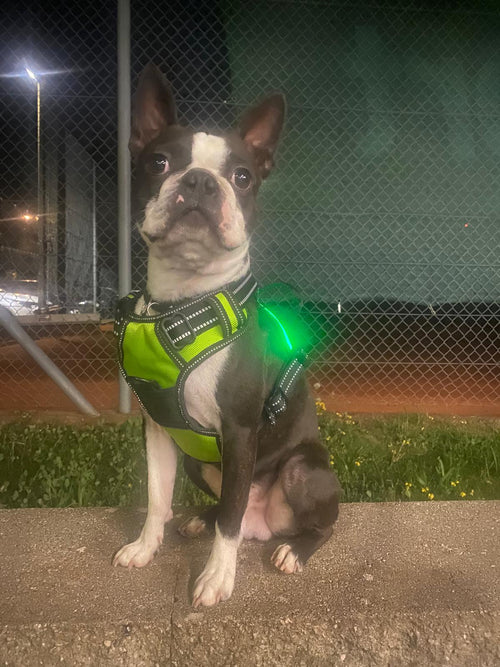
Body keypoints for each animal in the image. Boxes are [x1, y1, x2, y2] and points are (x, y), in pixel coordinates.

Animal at [113, 64, 341, 607]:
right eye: (158, 162)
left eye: (242, 177)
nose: (198, 180)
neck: (185, 302)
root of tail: (267, 526)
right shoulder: (159, 427)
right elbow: (157, 497)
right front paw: (145, 547)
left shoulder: (239, 433)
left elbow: (231, 522)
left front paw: (217, 577)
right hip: (200, 460)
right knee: (220, 505)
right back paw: (202, 518)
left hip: (301, 471)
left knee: (311, 523)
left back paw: (293, 550)